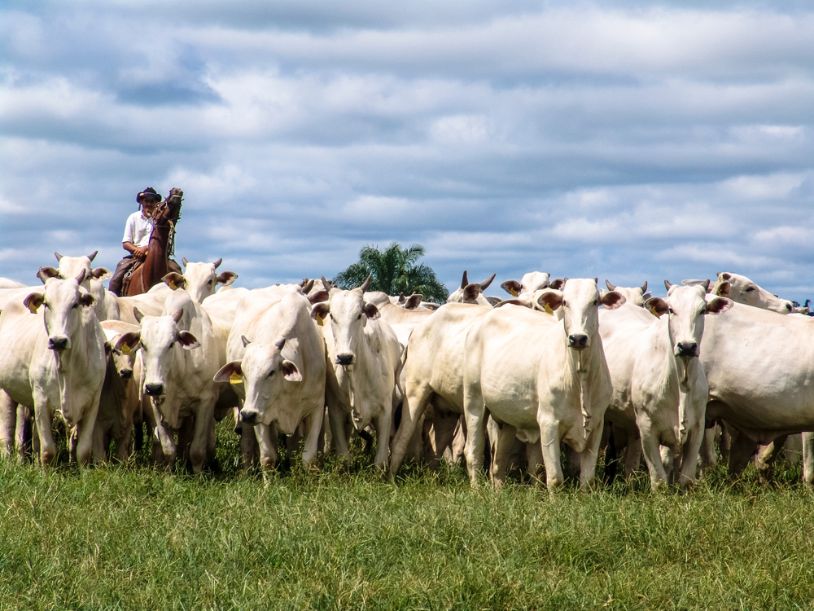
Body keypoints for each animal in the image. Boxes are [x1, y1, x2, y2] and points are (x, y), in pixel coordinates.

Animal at [0, 272, 106, 464]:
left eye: (75, 304)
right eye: (46, 304)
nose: (58, 341)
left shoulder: (93, 402)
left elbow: (84, 451)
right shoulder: (41, 399)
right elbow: (48, 451)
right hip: (6, 391)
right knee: (8, 430)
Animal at [312, 280, 402, 470]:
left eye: (359, 315)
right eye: (332, 316)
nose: (345, 357)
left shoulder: (385, 411)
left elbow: (380, 461)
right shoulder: (335, 411)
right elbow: (344, 457)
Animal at [462, 280, 628, 490]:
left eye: (595, 301)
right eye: (565, 302)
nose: (578, 338)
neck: (579, 379)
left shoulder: (597, 425)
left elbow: (587, 479)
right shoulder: (548, 424)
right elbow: (555, 478)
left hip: (506, 419)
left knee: (498, 462)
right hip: (474, 401)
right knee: (473, 452)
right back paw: (476, 489)